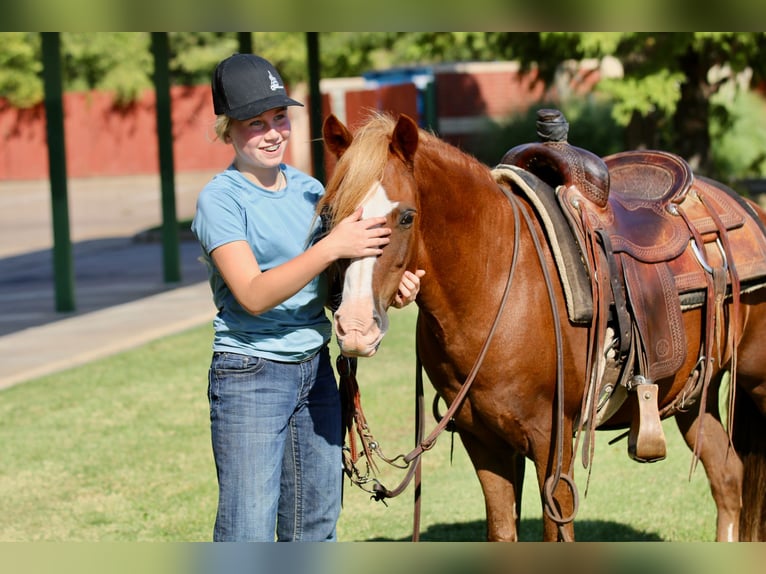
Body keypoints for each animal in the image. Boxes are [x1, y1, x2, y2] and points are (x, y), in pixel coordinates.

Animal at [318, 111, 766, 542]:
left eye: (407, 217)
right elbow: (502, 530)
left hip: (754, 383)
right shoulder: (483, 441)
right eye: (329, 214)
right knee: (728, 479)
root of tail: (750, 207)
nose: (355, 326)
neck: (498, 282)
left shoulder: (552, 438)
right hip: (693, 395)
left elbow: (557, 531)